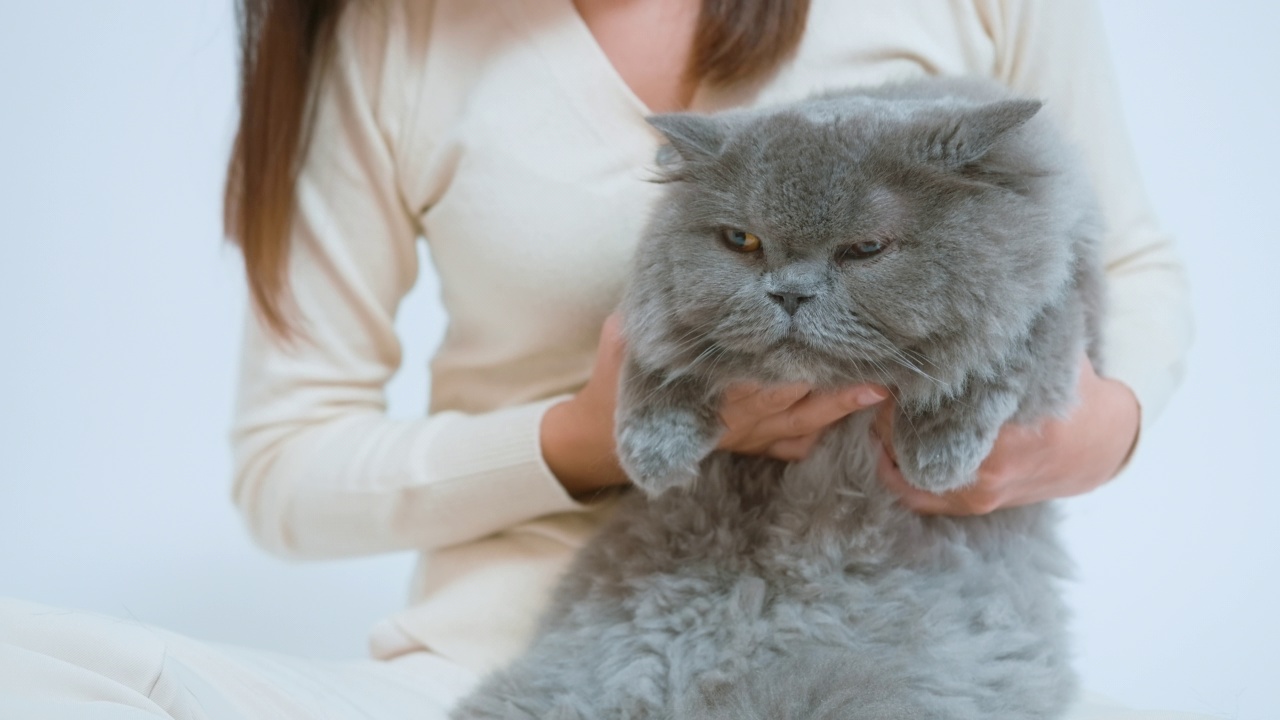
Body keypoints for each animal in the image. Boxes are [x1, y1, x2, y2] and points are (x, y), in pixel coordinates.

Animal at [448, 77, 1100, 717]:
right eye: (743, 240)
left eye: (866, 249)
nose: (791, 293)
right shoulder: (652, 323)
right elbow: (659, 358)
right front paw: (653, 452)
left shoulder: (1069, 301)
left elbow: (1006, 349)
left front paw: (938, 454)